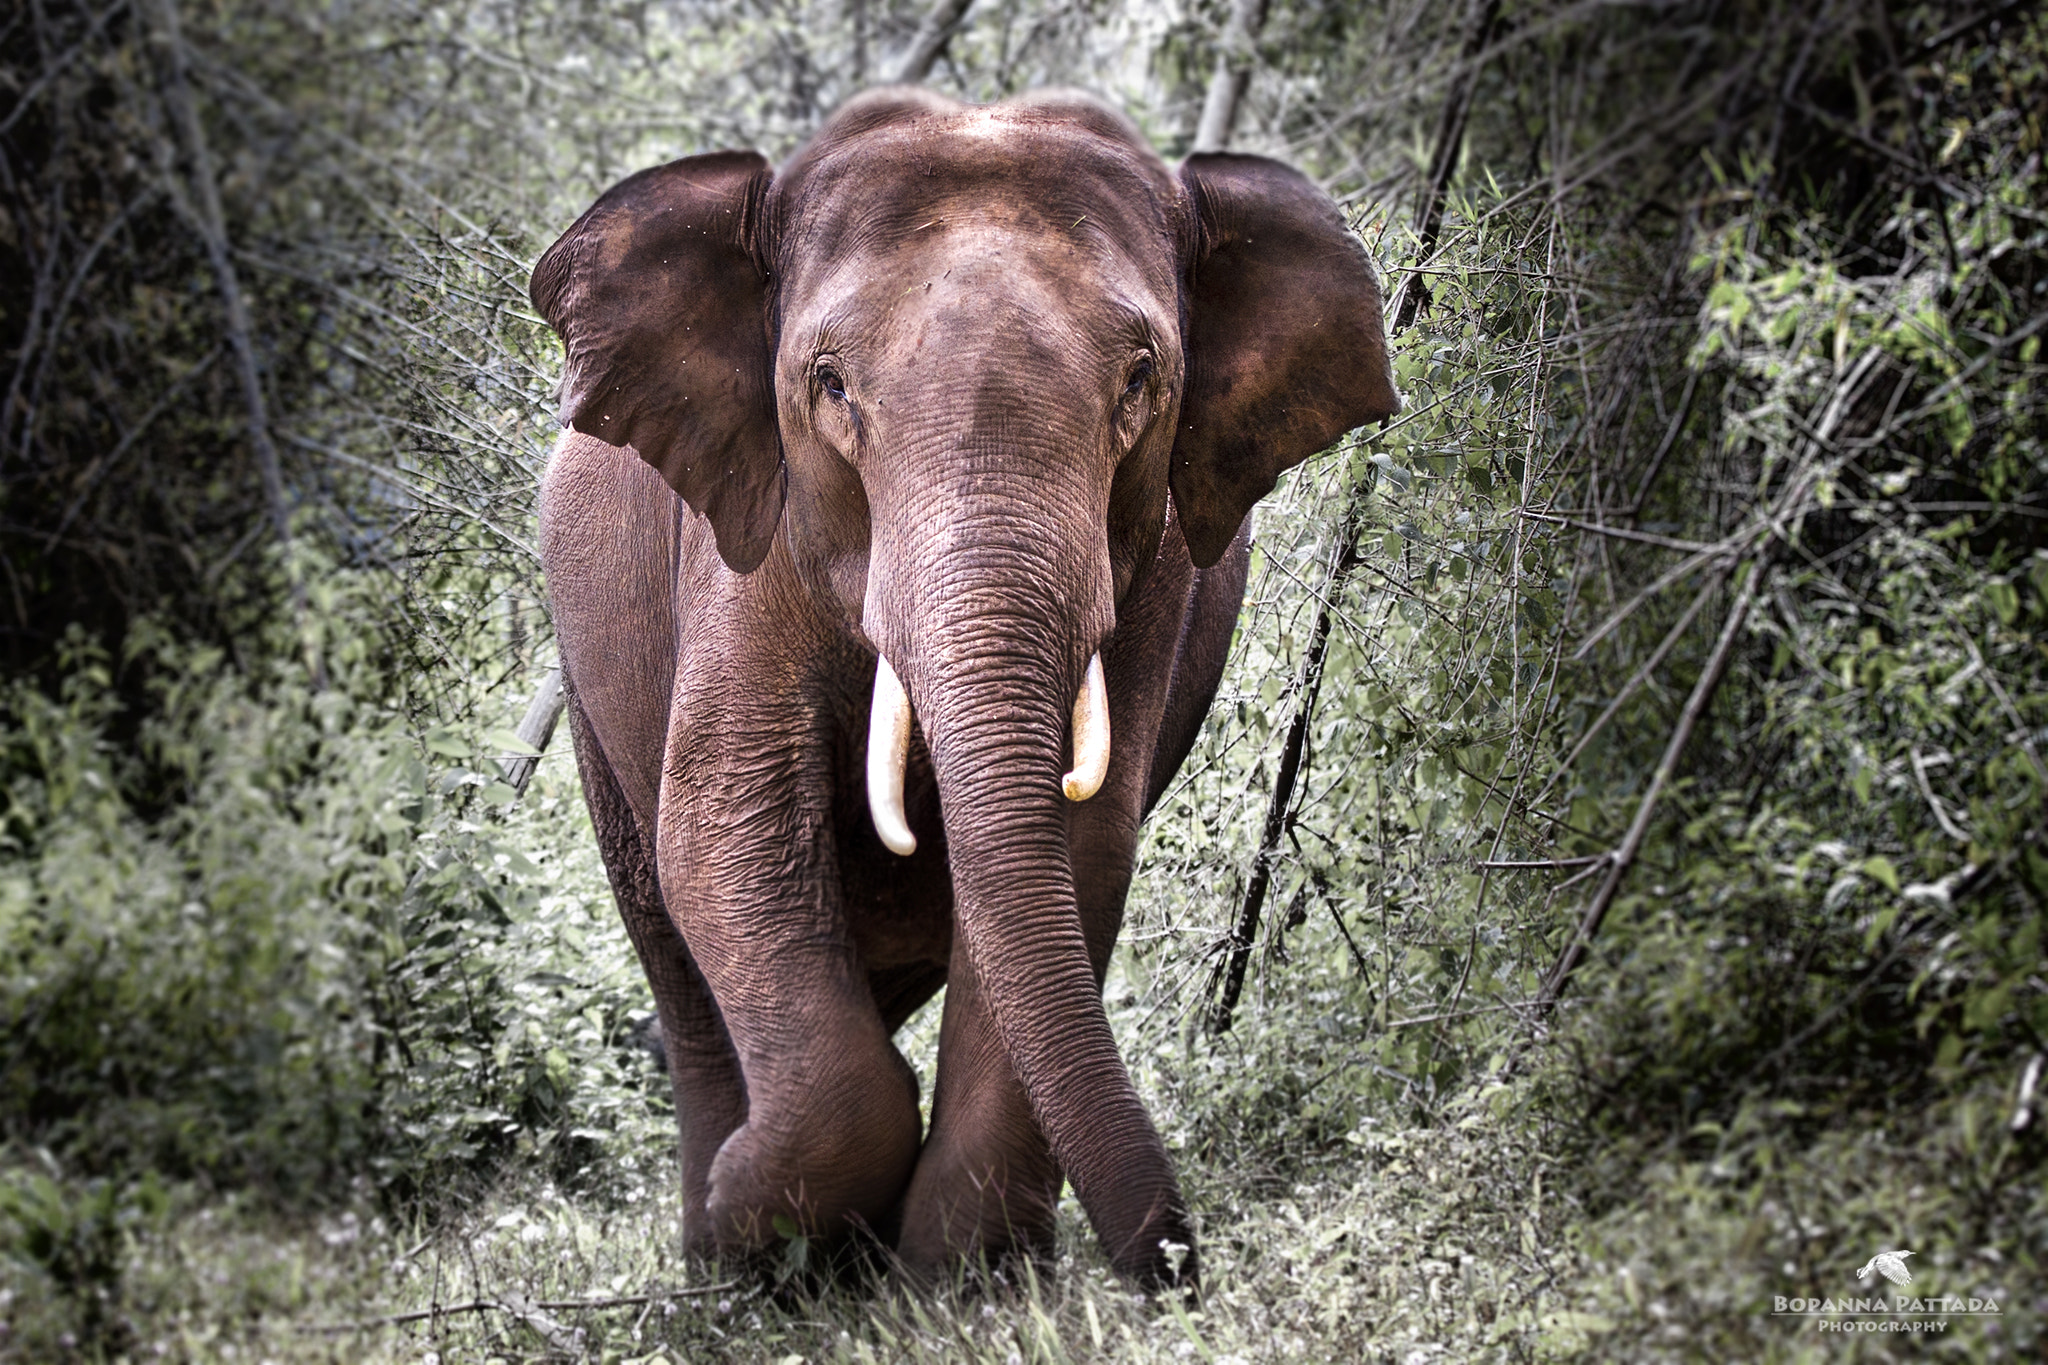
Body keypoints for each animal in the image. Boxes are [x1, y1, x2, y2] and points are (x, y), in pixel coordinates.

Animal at [531, 86, 1396, 1290]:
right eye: (829, 384)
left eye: (1142, 380)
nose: (1179, 1268)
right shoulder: (743, 538)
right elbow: (727, 828)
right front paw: (772, 1221)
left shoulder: (1155, 564)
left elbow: (1076, 845)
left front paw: (959, 1284)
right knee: (673, 953)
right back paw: (722, 1265)